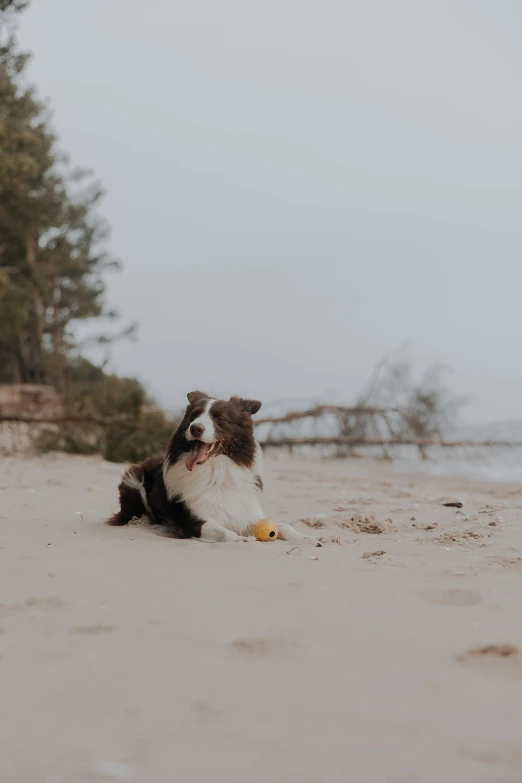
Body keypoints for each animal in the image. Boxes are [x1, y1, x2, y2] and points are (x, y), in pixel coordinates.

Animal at [106, 392, 312, 544]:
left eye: (220, 418)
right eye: (193, 416)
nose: (195, 428)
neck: (216, 472)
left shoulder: (246, 512)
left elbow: (282, 525)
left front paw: (304, 537)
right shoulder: (194, 520)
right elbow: (222, 531)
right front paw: (242, 539)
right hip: (134, 479)